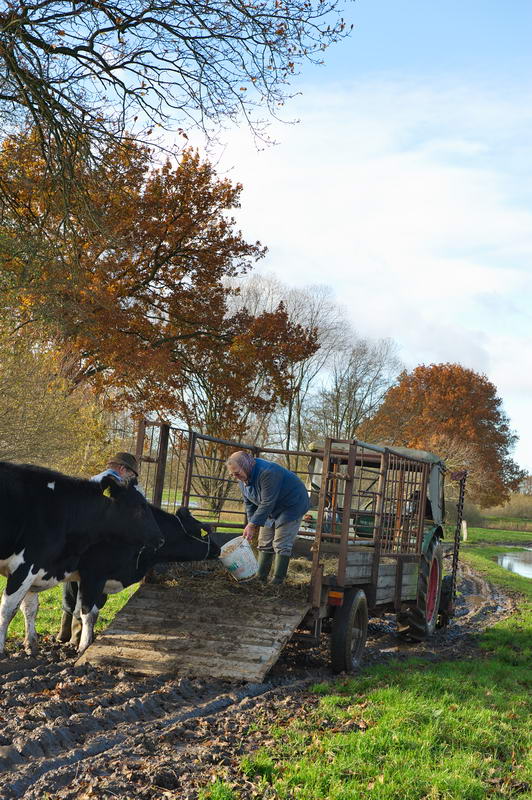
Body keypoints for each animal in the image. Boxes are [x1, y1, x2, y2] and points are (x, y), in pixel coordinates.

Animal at [0, 461, 162, 656]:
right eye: (139, 506)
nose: (160, 538)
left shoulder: (35, 568)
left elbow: (29, 608)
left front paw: (31, 644)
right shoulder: (26, 566)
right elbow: (7, 611)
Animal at [50, 505, 221, 654]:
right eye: (199, 531)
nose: (217, 549)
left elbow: (86, 610)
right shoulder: (93, 575)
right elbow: (87, 613)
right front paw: (83, 647)